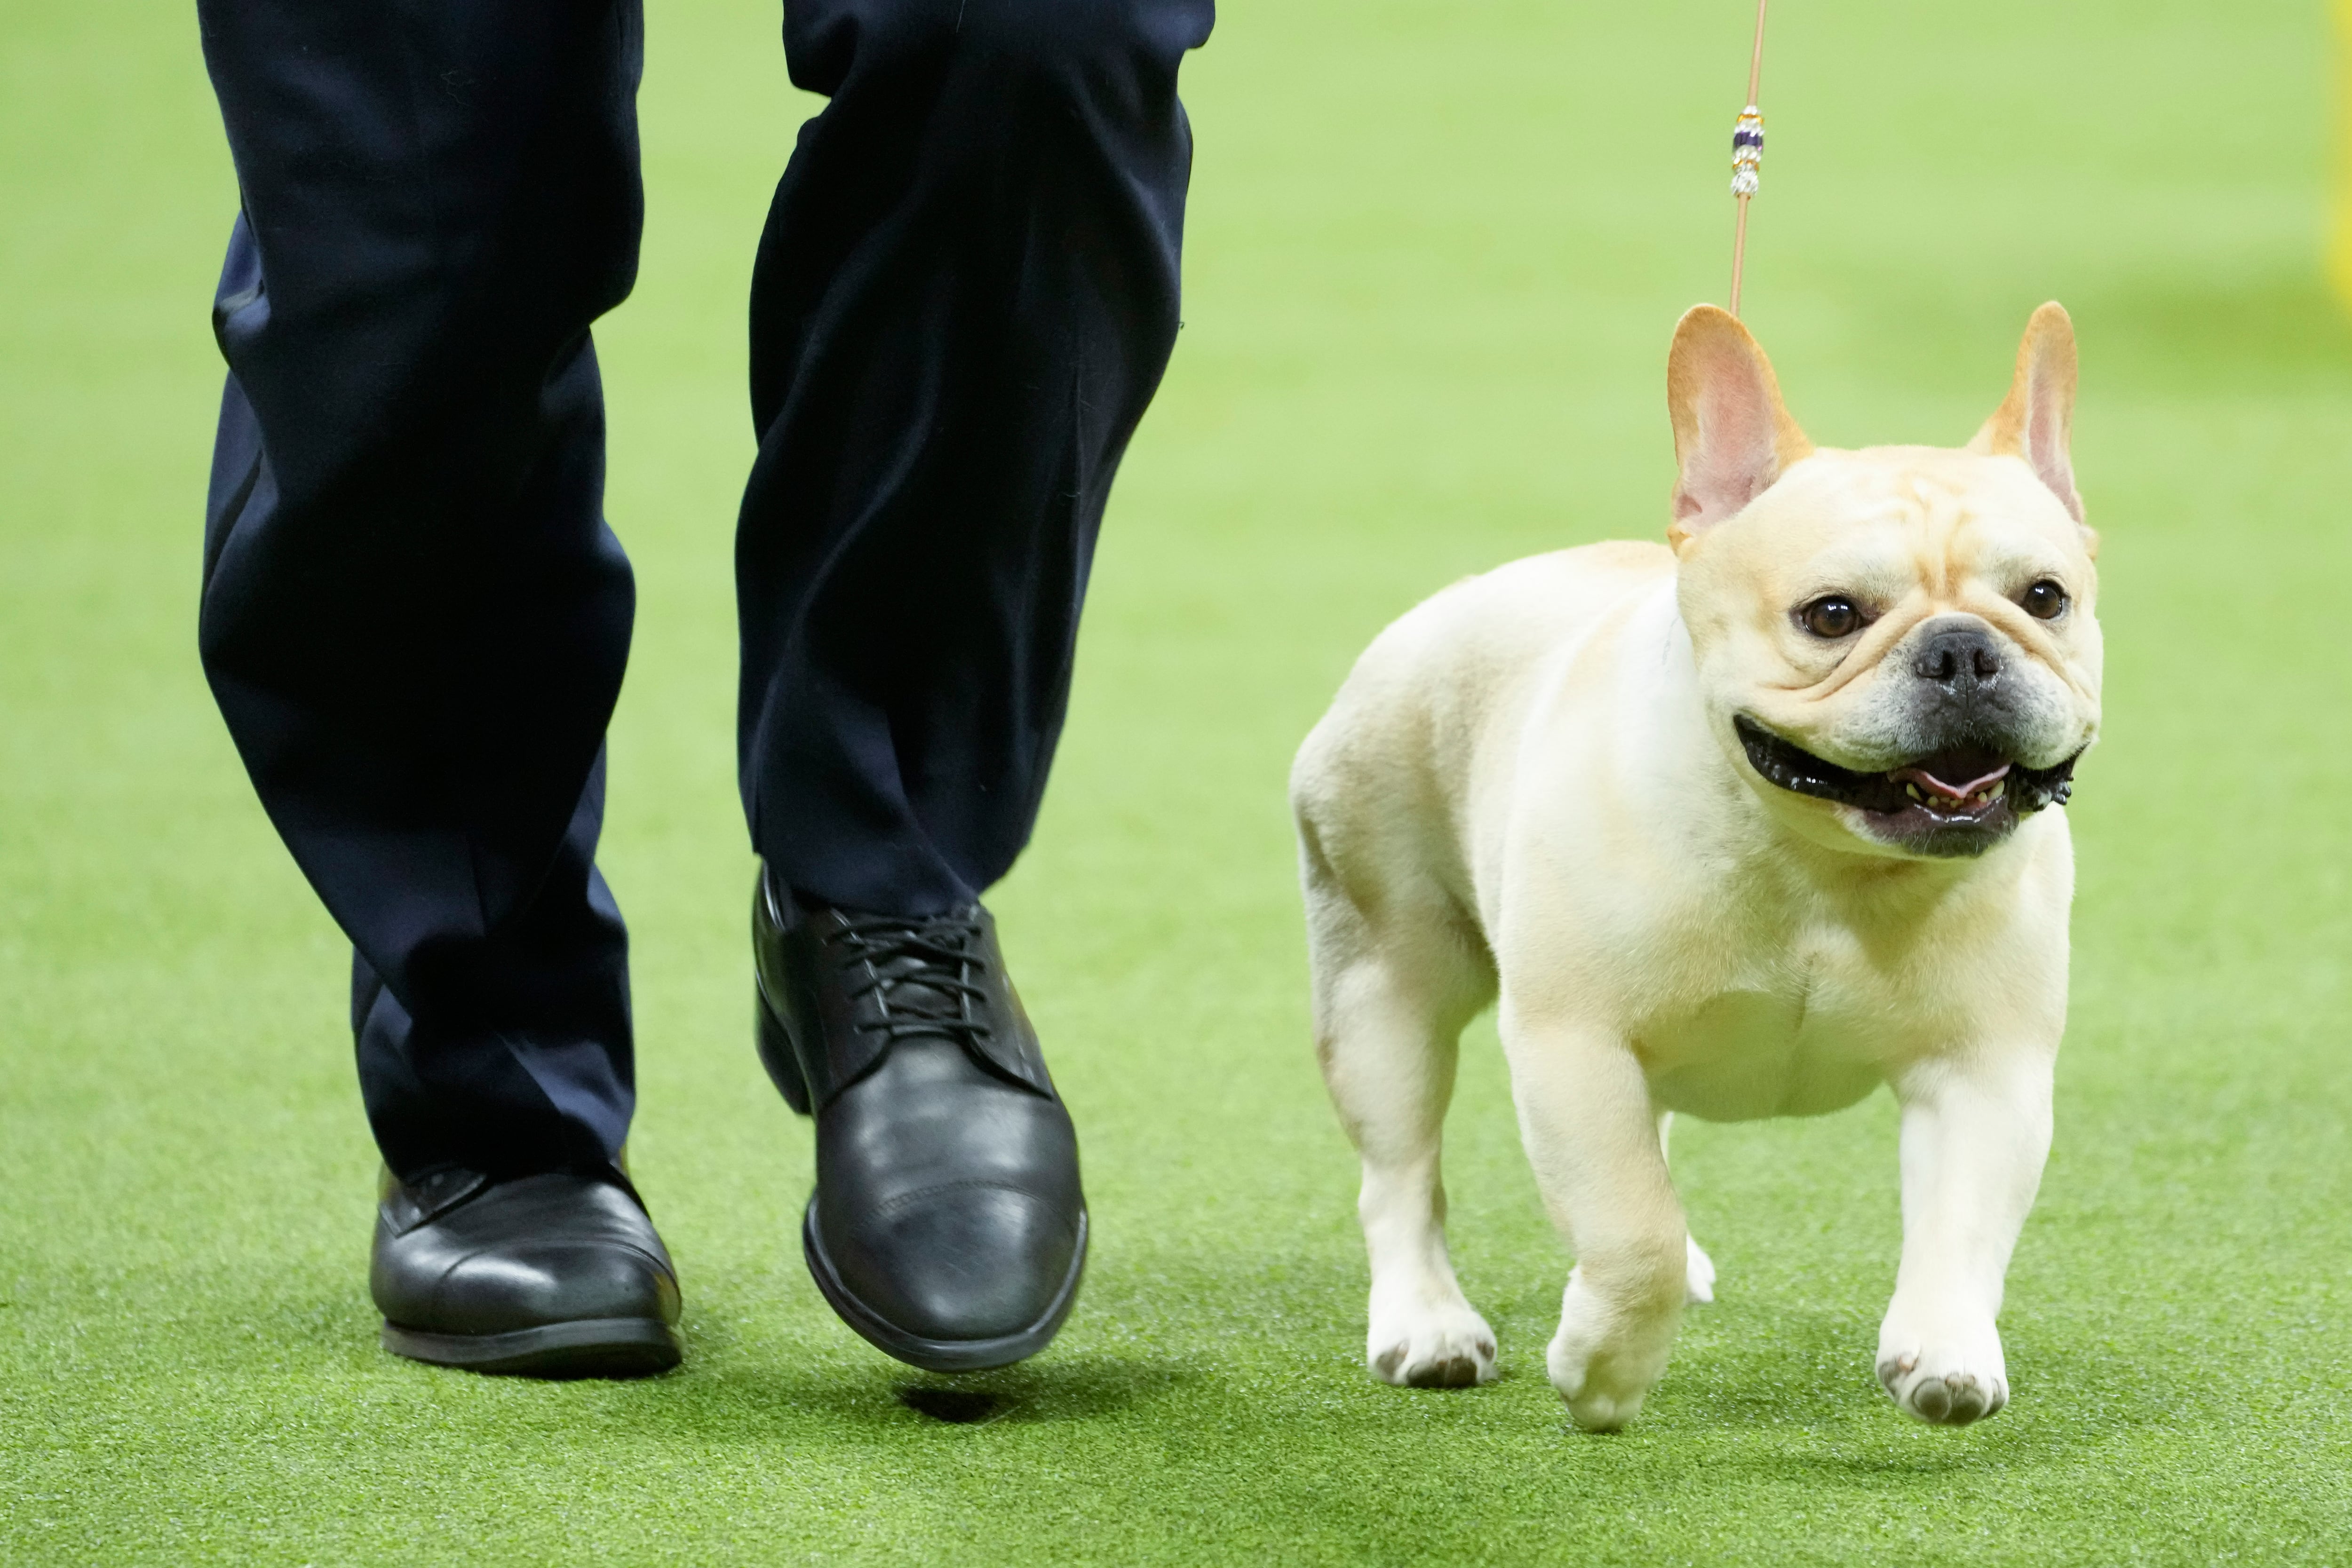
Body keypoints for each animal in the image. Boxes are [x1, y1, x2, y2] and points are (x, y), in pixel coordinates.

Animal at [1298, 303, 2107, 1439]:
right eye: (1831, 614)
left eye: (2046, 597)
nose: (1963, 651)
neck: (1822, 862)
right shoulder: (1576, 1047)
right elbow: (1630, 1228)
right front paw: (1602, 1369)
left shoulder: (1986, 1067)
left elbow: (1961, 1223)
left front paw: (1944, 1348)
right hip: (1388, 986)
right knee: (1403, 1173)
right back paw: (1427, 1325)